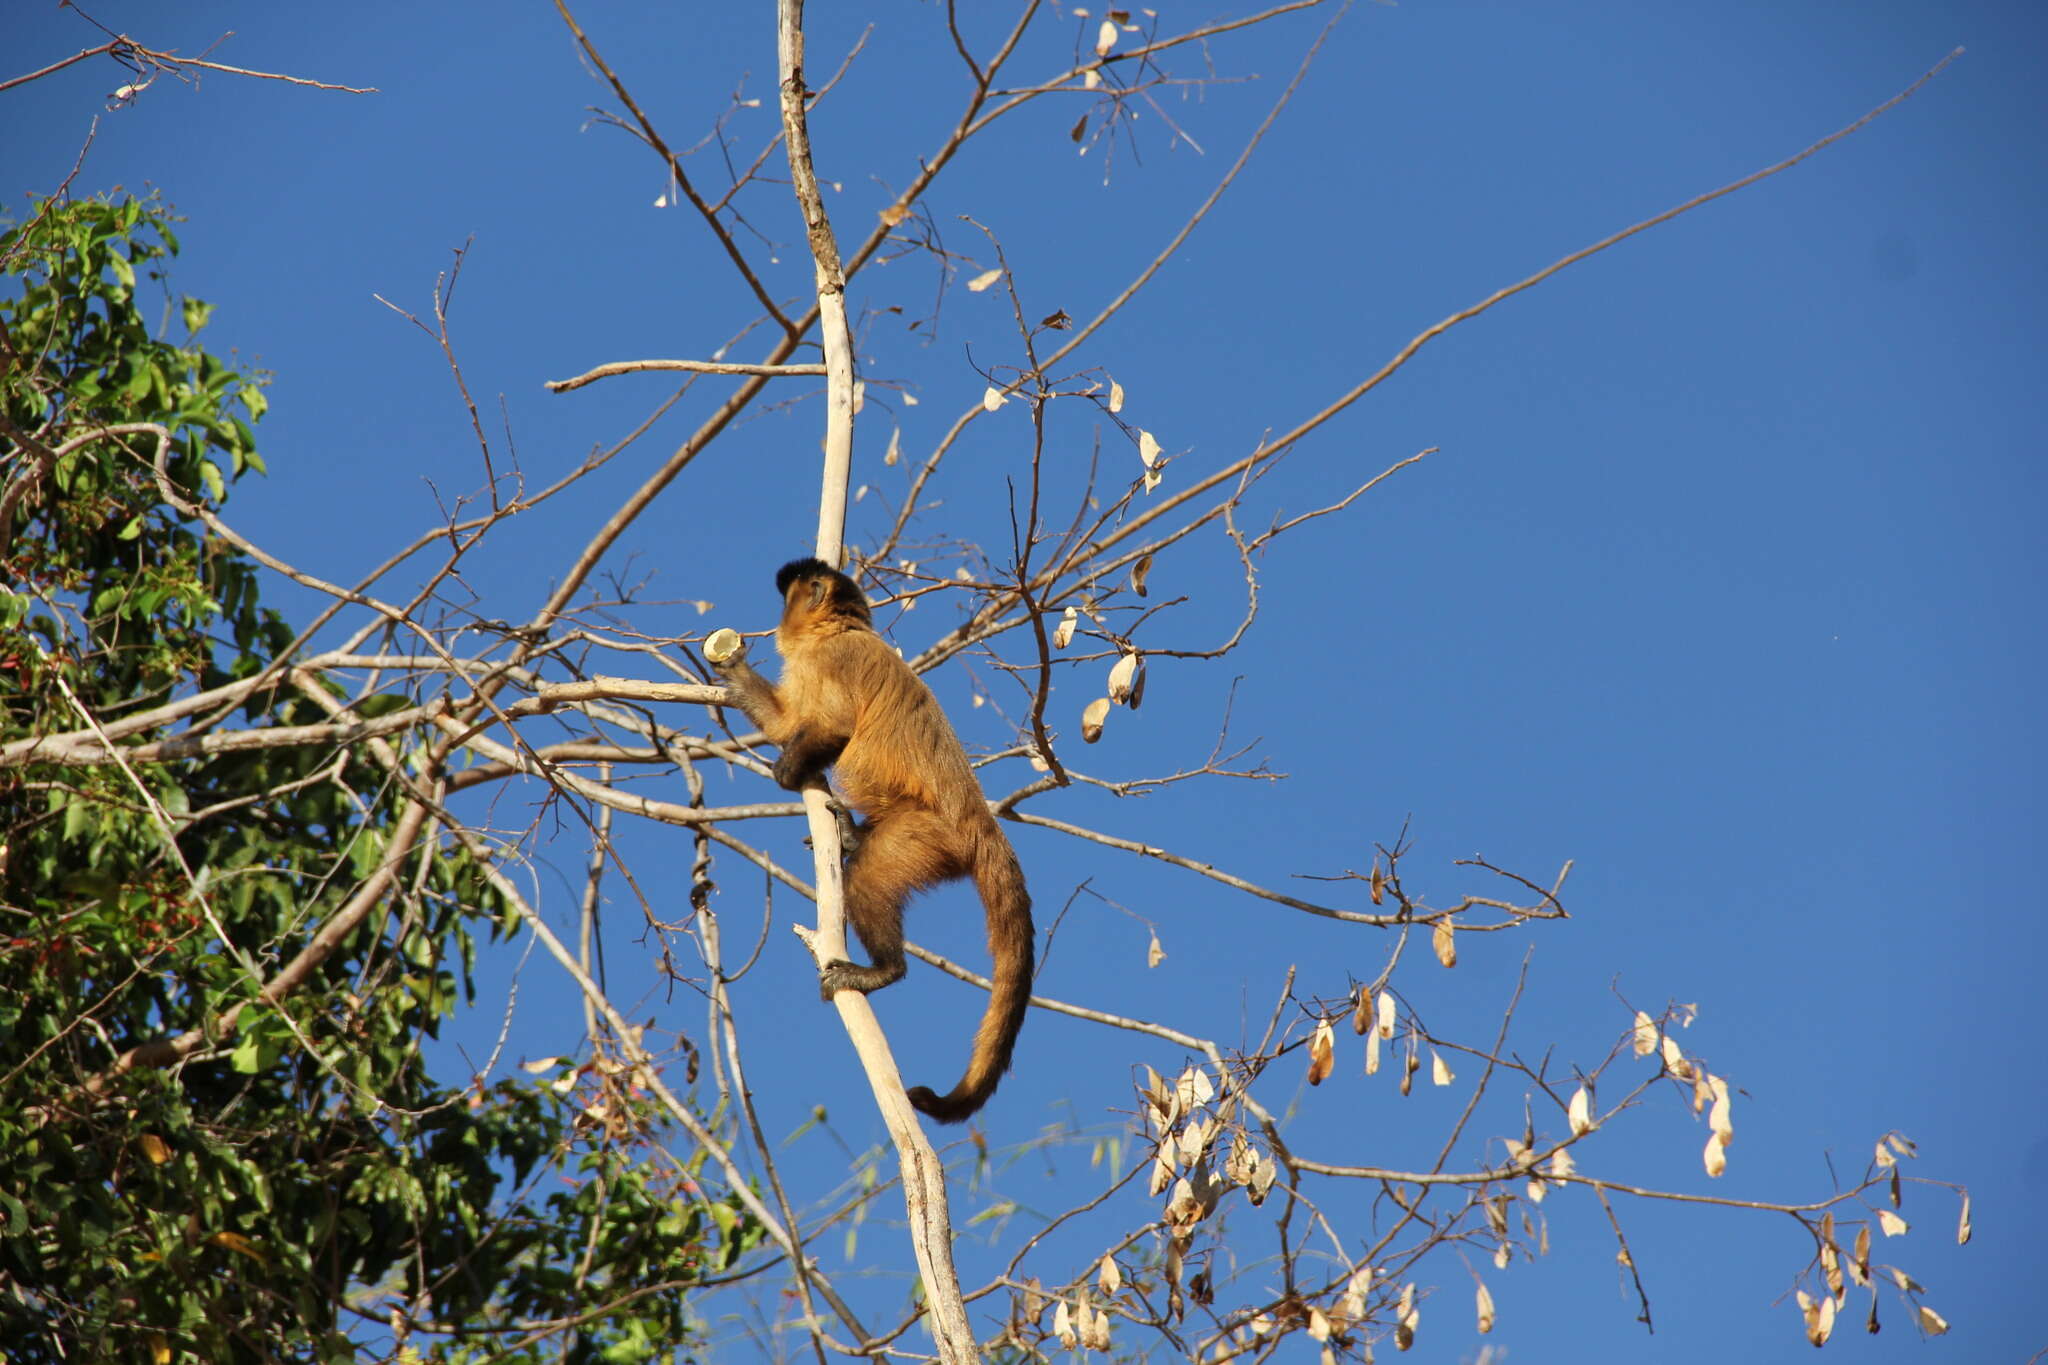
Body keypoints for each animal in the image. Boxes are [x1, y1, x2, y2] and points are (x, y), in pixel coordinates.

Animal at [712, 556, 1032, 1121]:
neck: (843, 630)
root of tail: (981, 819)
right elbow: (787, 723)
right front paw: (733, 671)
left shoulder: (832, 659)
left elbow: (834, 727)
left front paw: (788, 771)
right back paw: (850, 835)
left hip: (928, 835)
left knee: (867, 879)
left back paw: (883, 970)